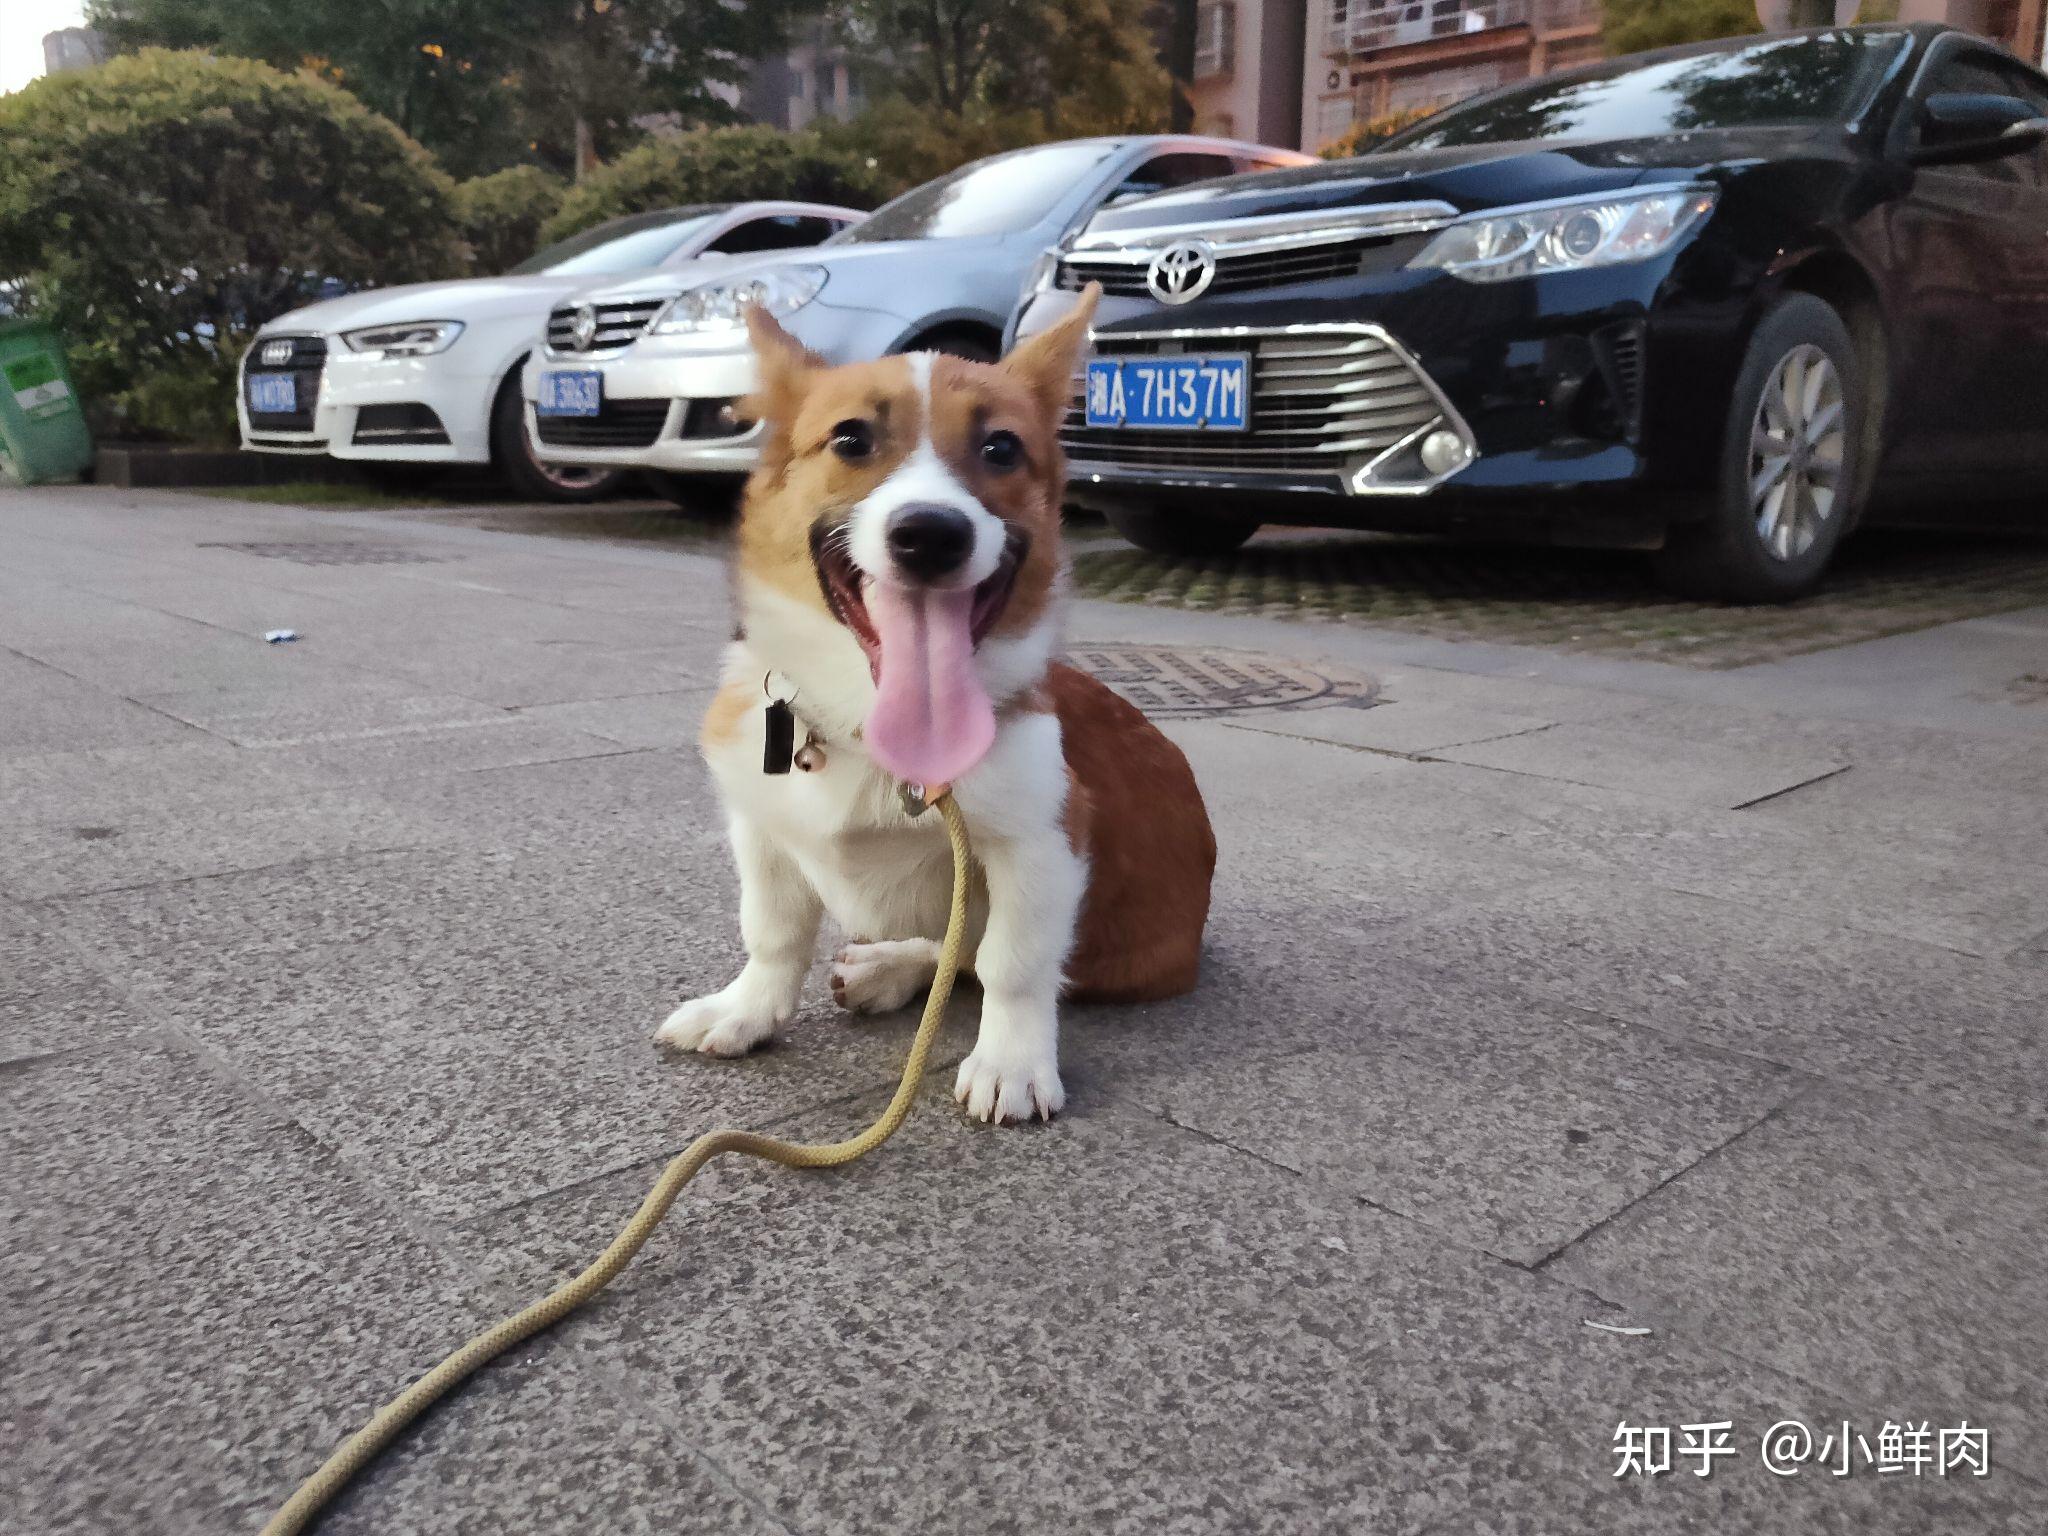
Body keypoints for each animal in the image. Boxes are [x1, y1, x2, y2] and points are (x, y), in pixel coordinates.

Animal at [655, 288, 1204, 1122]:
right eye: (851, 438)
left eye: (1002, 449)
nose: (929, 535)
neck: (863, 723)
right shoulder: (762, 828)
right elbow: (773, 932)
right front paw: (746, 1011)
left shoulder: (1041, 844)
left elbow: (1013, 963)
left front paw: (1011, 1064)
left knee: (972, 958)